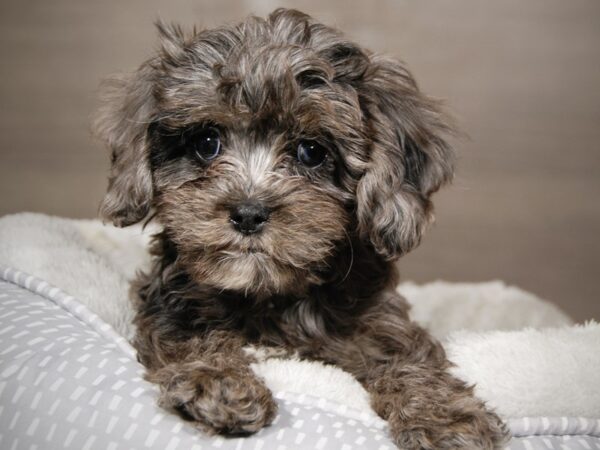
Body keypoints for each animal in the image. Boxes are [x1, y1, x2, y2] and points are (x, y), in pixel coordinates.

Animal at [96, 7, 508, 450]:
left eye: (311, 151)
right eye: (206, 142)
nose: (248, 213)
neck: (270, 294)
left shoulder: (377, 321)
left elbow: (406, 357)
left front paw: (445, 418)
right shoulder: (170, 303)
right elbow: (190, 338)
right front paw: (220, 384)